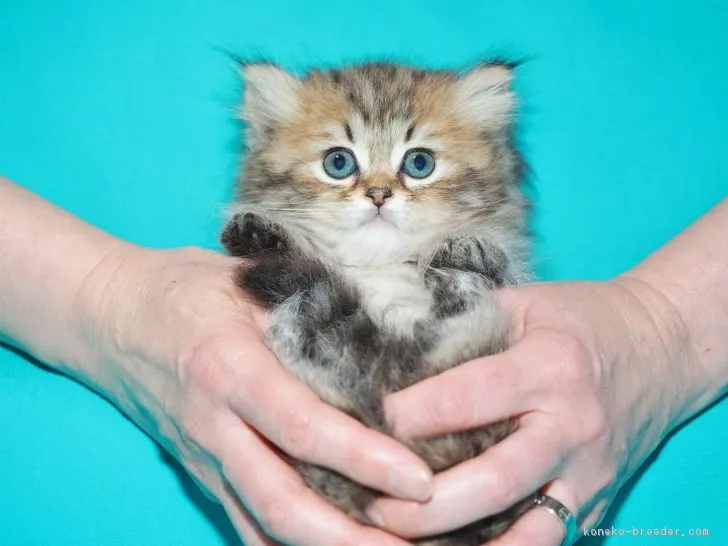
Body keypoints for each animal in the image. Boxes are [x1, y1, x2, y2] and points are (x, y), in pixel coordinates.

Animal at [220, 61, 536, 540]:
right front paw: (263, 226)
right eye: (339, 162)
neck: (378, 265)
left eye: (419, 163)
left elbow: (492, 265)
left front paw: (471, 247)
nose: (379, 195)